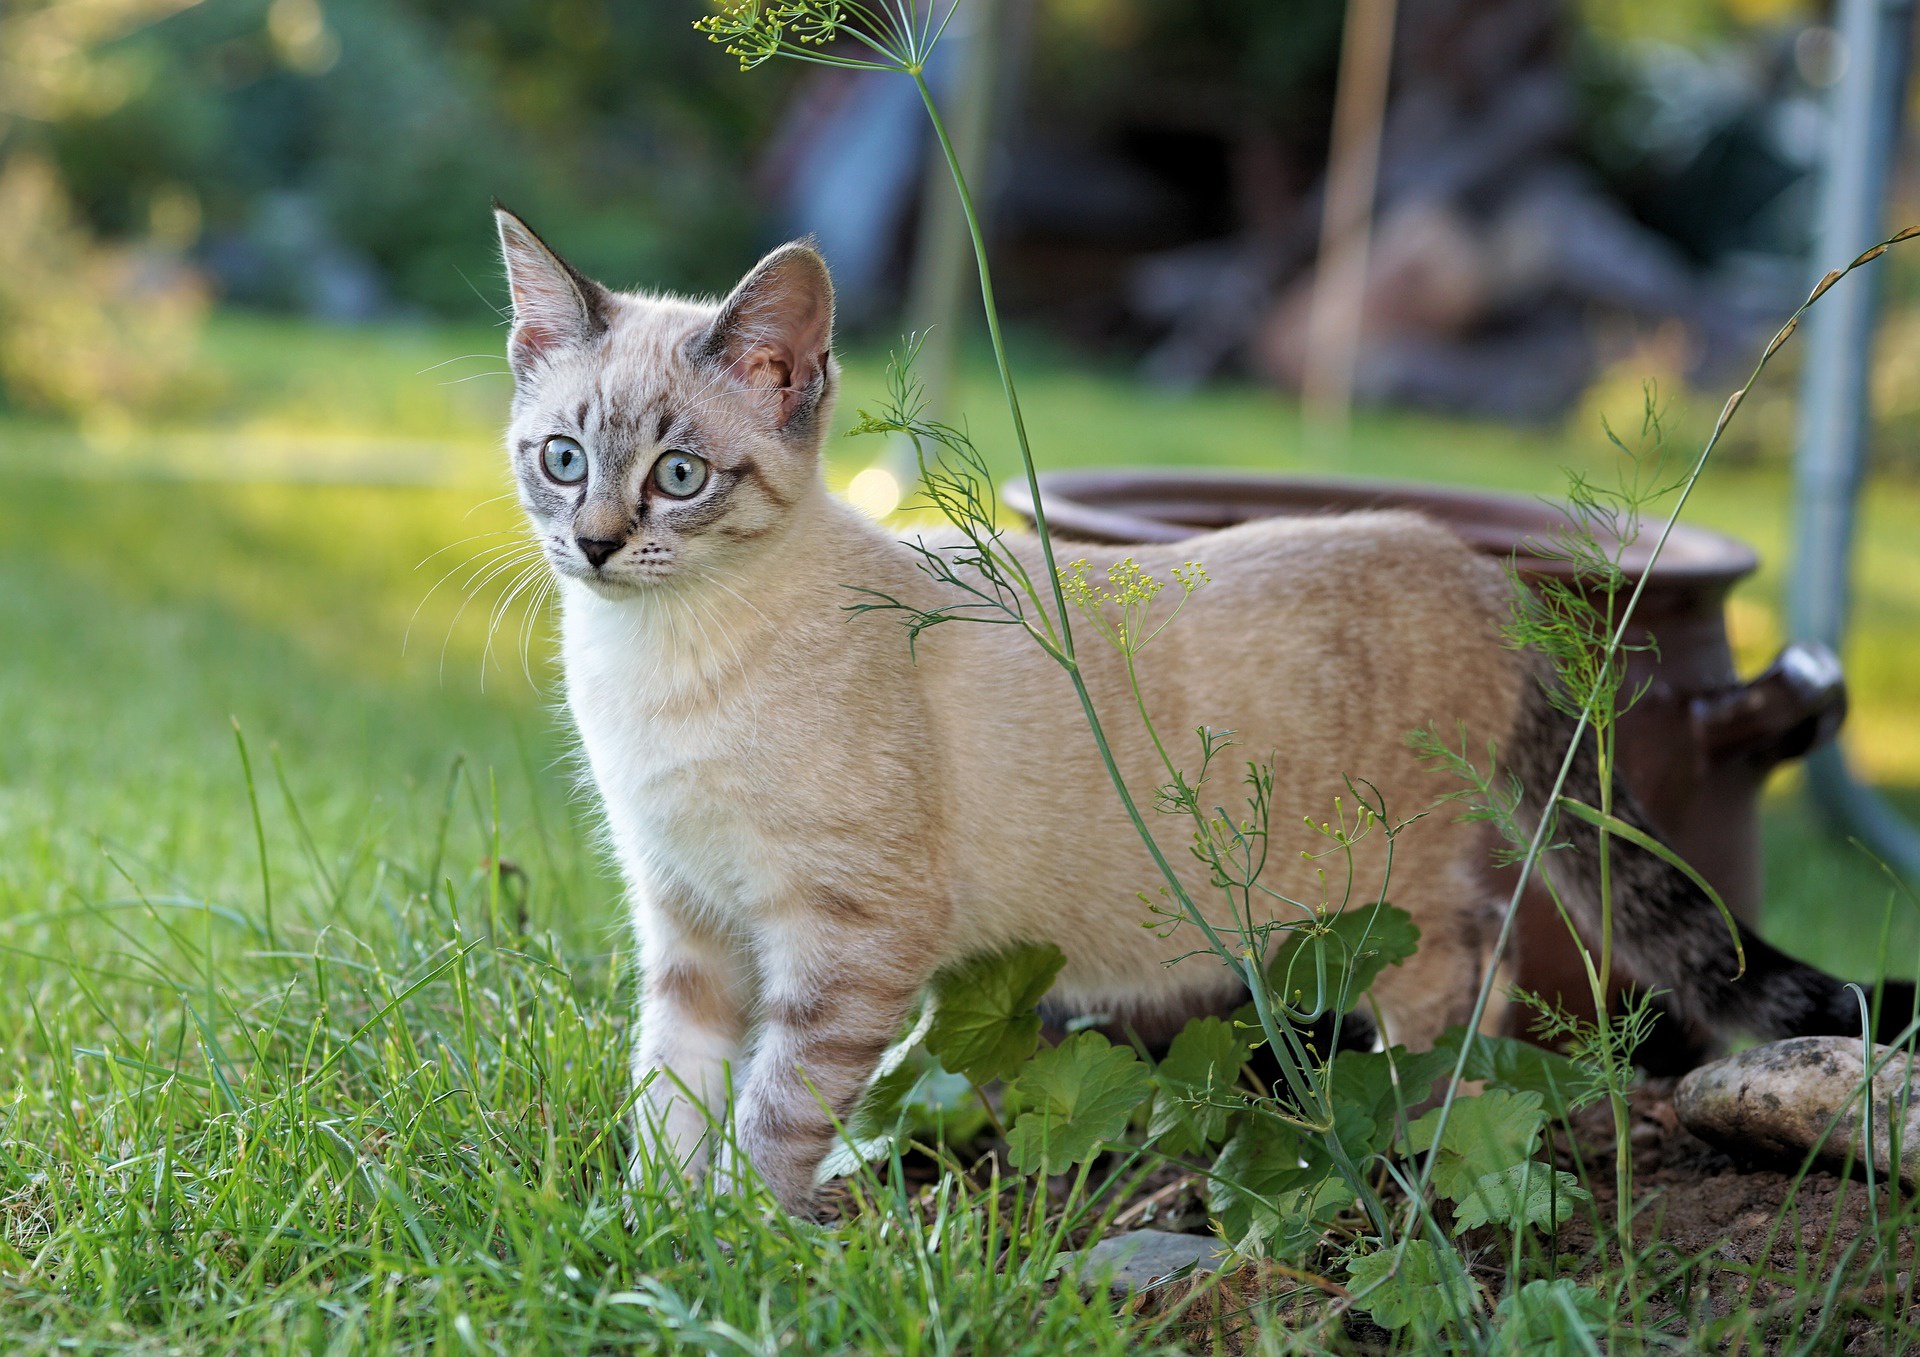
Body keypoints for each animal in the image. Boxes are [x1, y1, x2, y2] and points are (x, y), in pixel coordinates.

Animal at [491, 207, 1904, 1213]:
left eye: (680, 477)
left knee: (1478, 969)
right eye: (561, 458)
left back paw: (1415, 1131)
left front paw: (739, 1241)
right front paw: (648, 1233)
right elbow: (668, 1096)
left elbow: (777, 1110)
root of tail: (1476, 566)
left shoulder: (845, 938)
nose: (596, 543)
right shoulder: (686, 920)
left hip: (1381, 885)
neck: (654, 665)